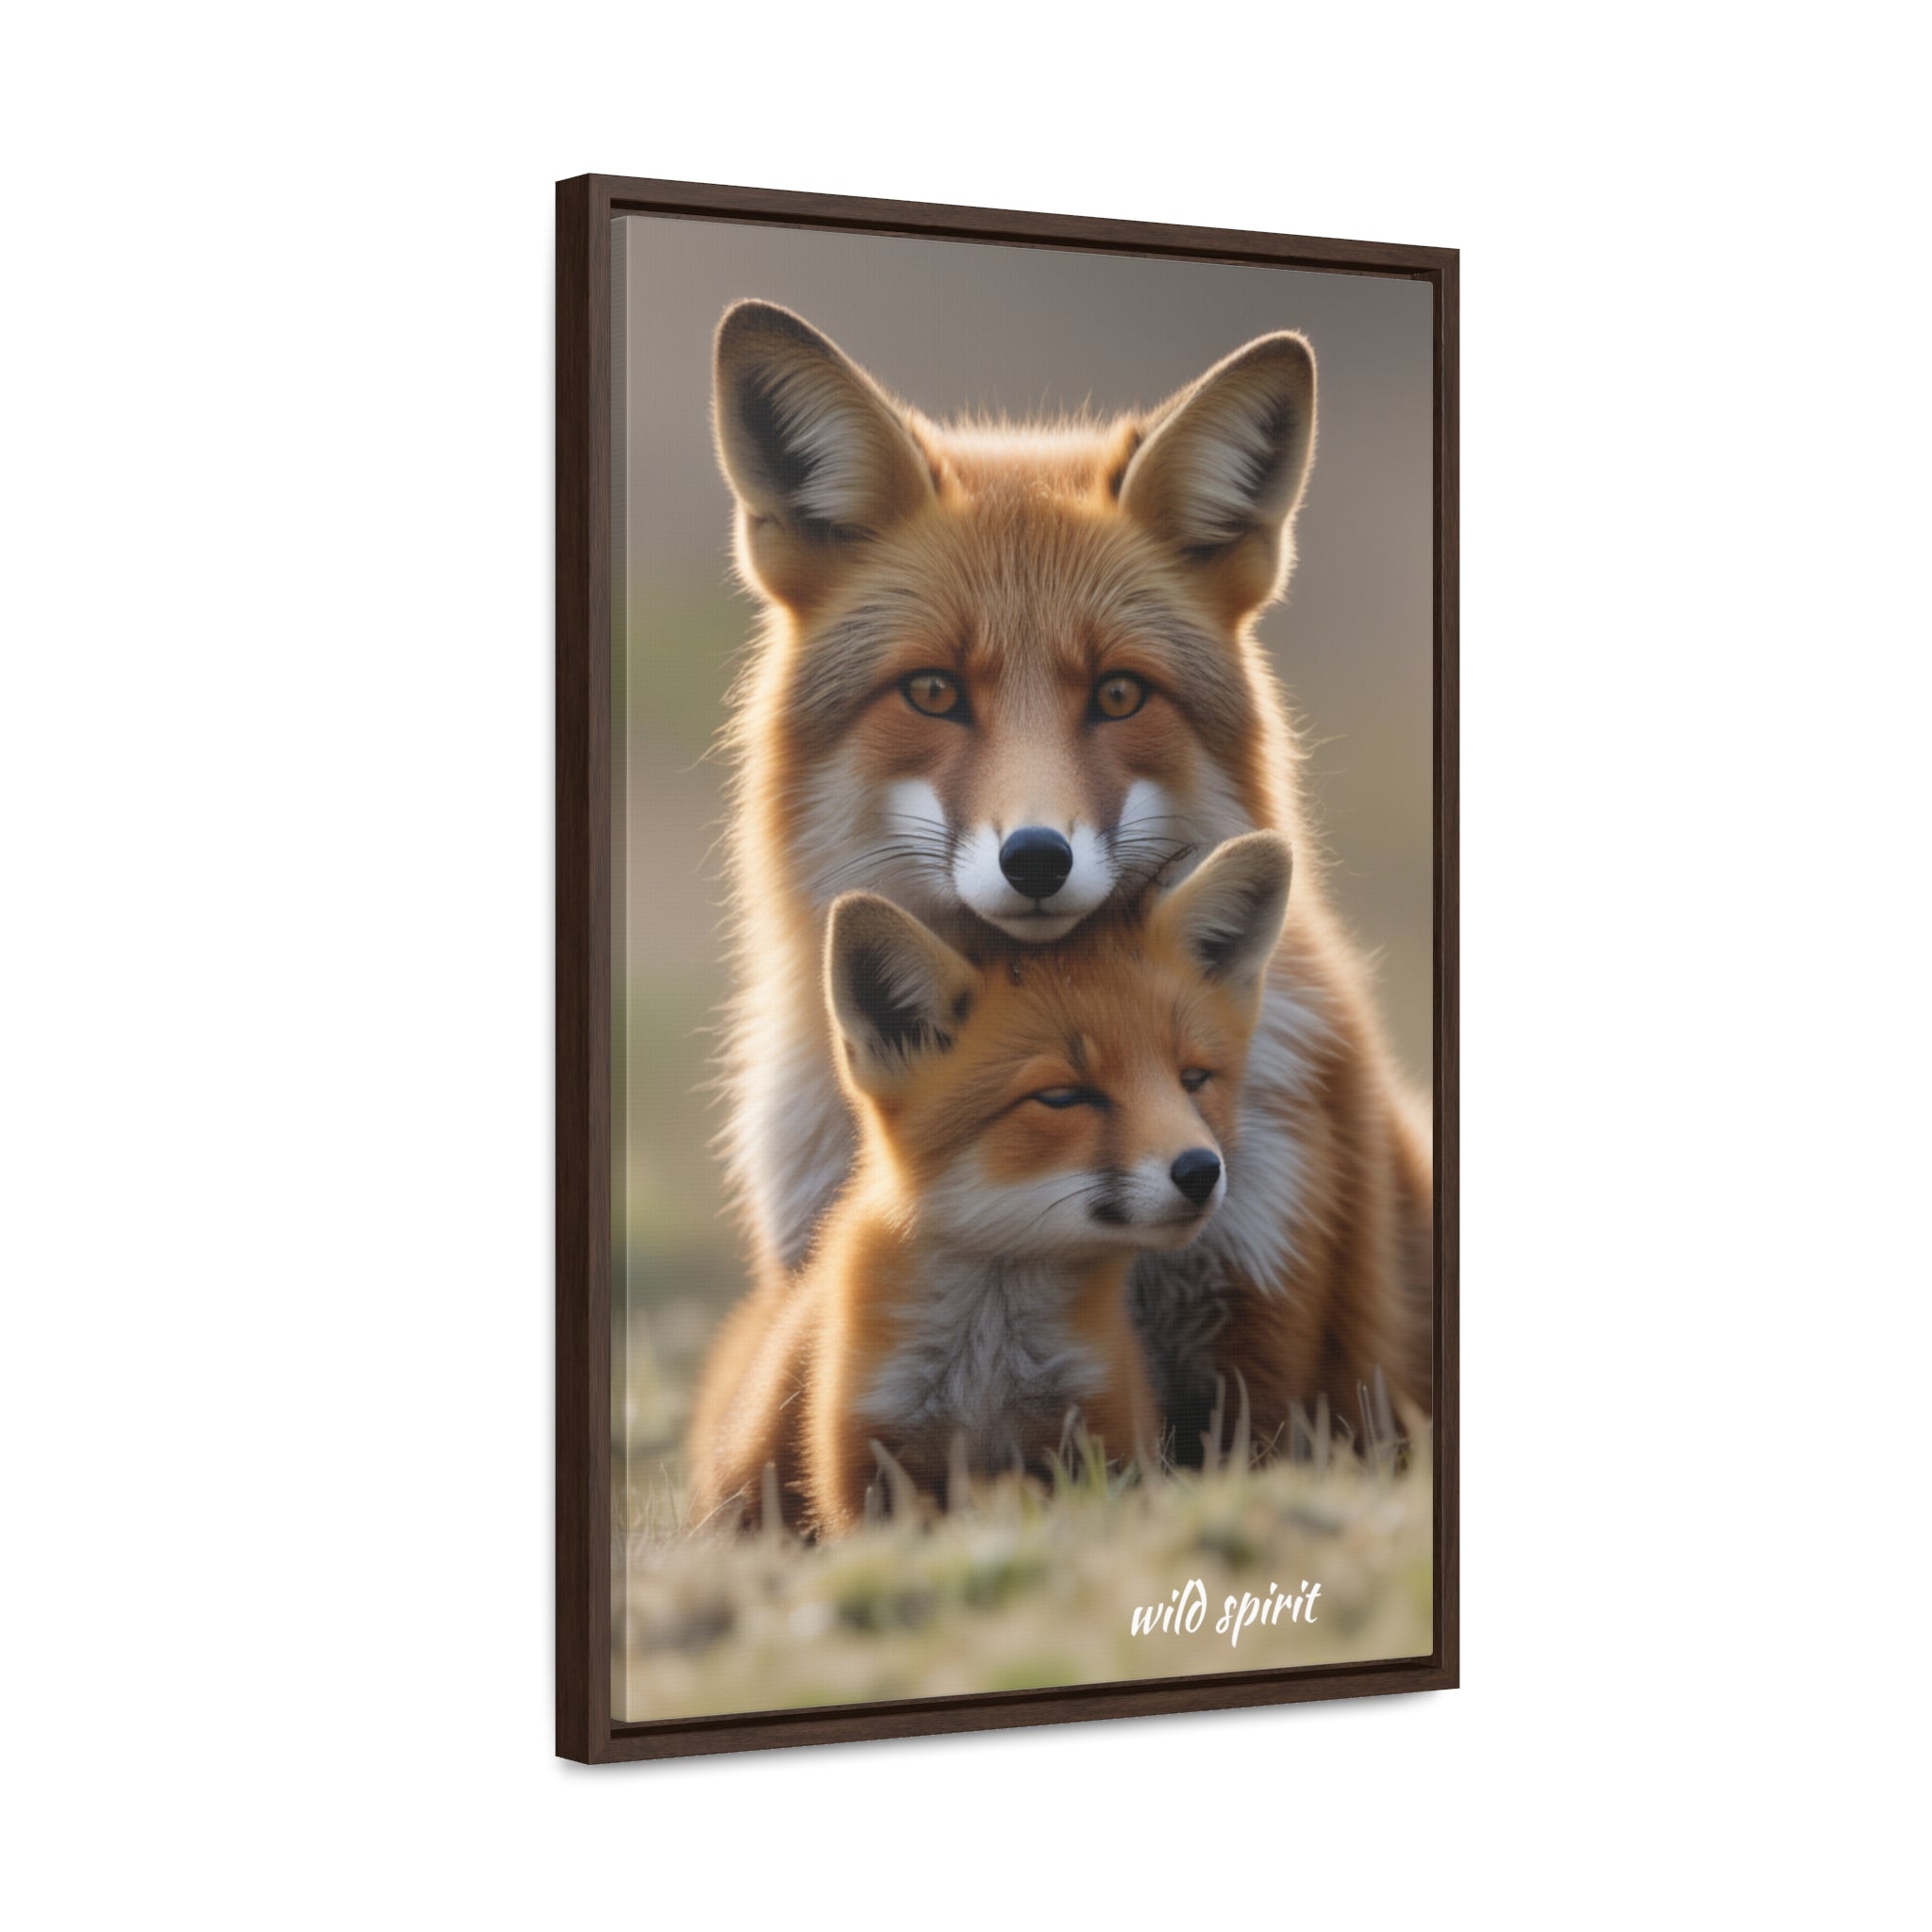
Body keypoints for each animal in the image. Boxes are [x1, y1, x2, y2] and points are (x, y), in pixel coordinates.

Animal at [687, 833, 1294, 1535]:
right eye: (1062, 1096)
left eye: (1193, 1079)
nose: (1200, 1170)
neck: (988, 1370)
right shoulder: (865, 1461)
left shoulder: (1104, 1432)